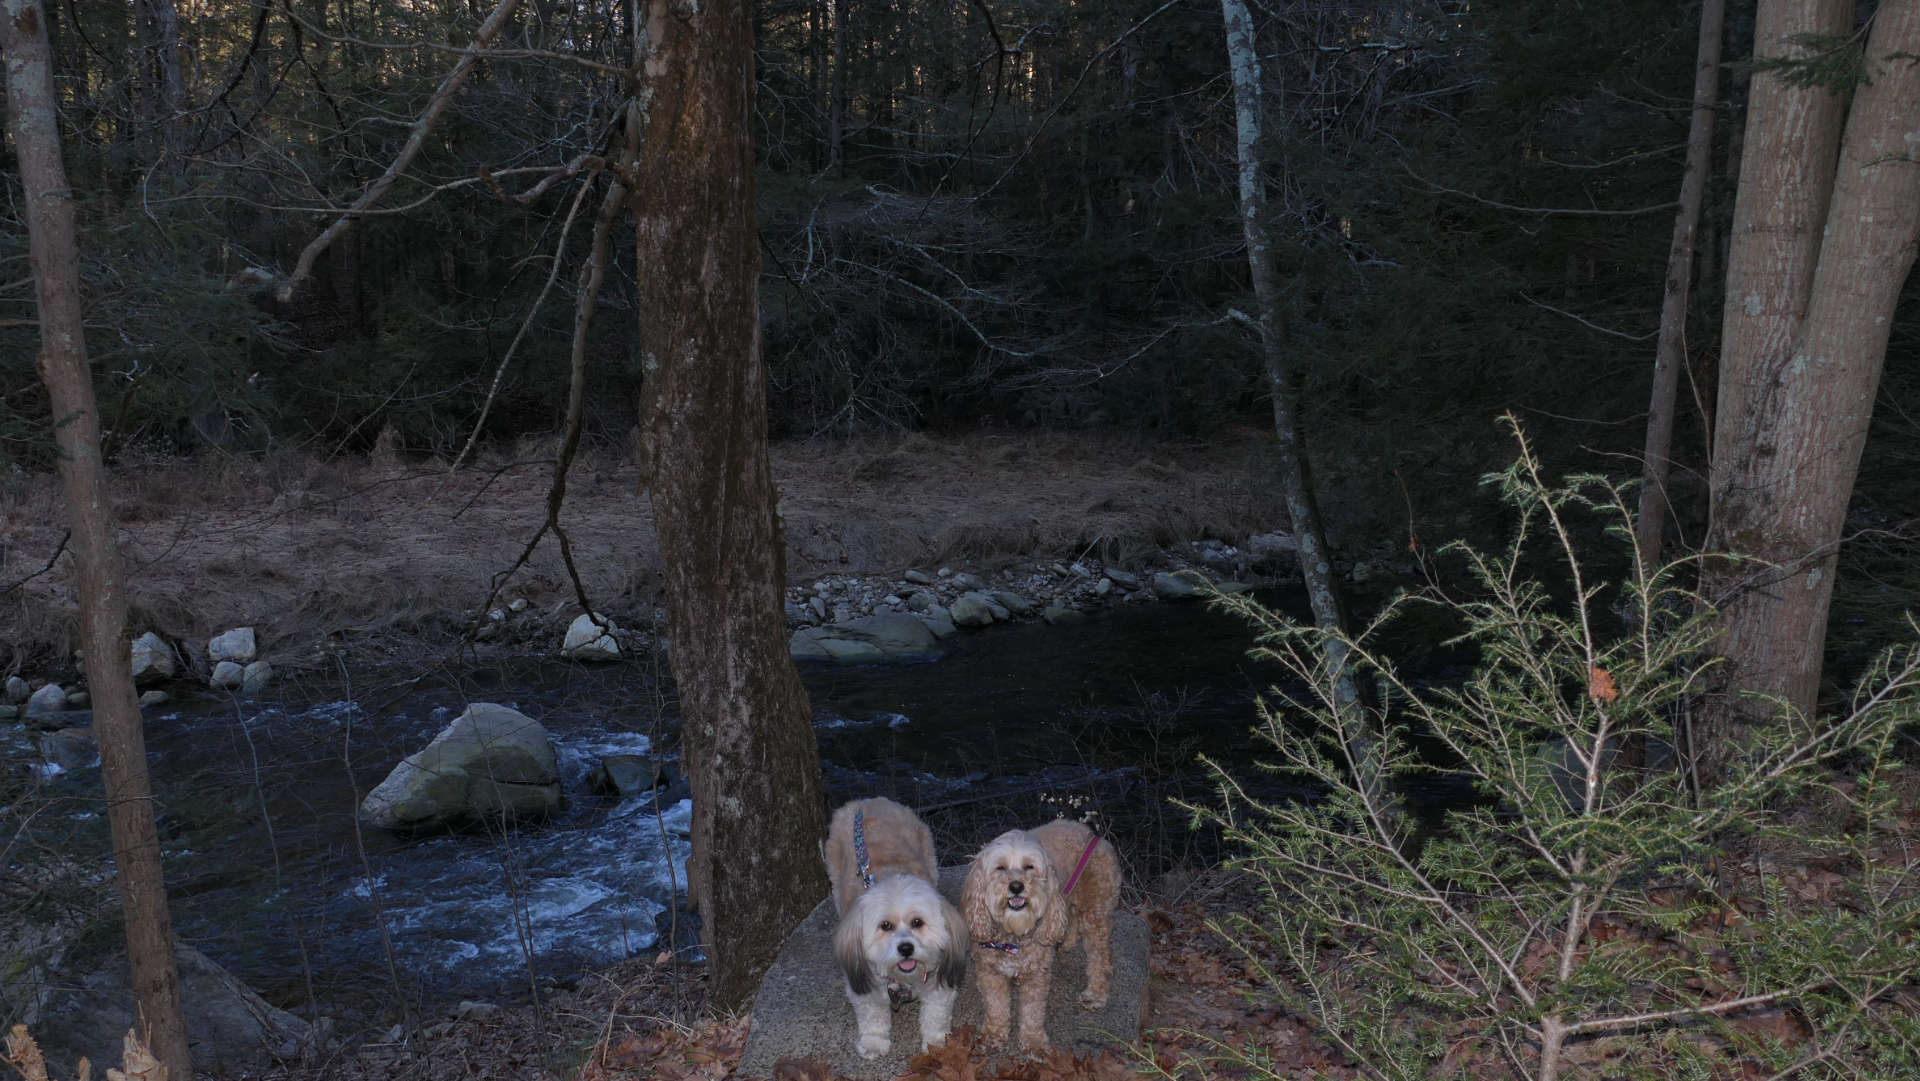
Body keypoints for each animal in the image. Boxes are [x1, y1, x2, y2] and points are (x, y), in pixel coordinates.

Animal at [821, 798, 967, 1059]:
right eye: (885, 926)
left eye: (917, 922)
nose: (906, 948)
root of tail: (867, 801)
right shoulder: (866, 987)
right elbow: (872, 1016)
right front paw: (873, 1043)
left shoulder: (939, 982)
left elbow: (935, 1015)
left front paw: (937, 1044)